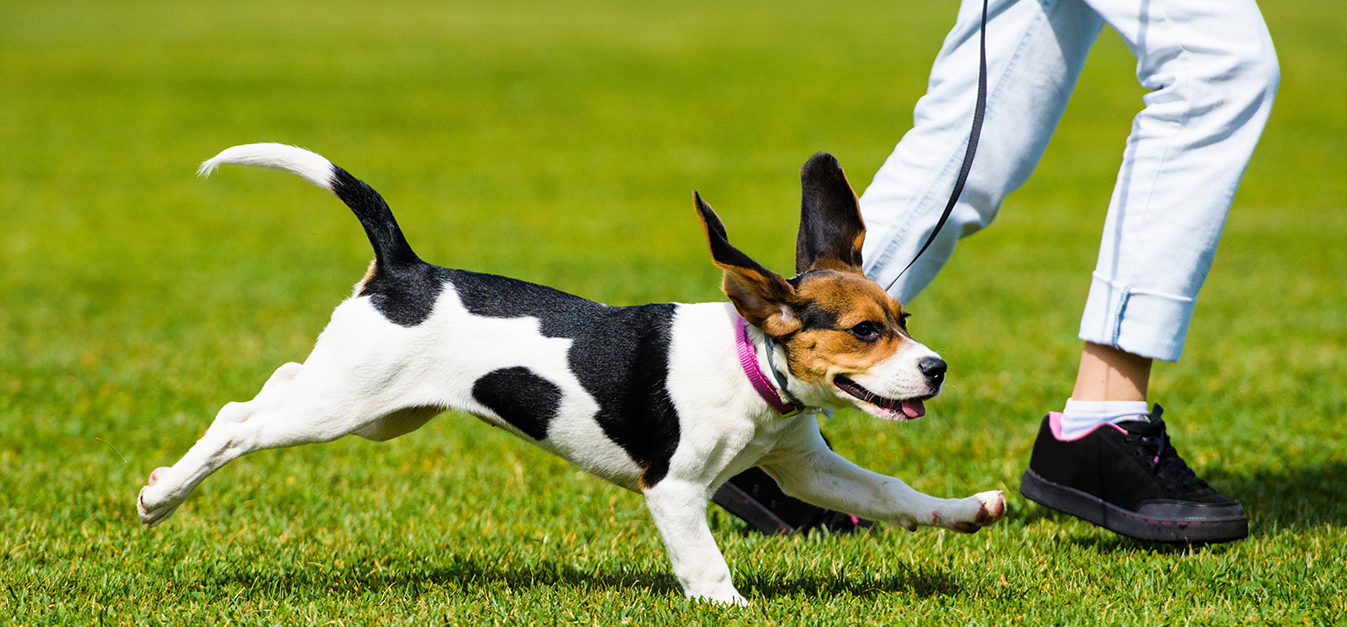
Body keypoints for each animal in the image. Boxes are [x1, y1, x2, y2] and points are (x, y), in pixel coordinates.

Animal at [136, 144, 1007, 604]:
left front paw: (967, 509)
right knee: (236, 419)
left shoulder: (806, 467)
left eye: (903, 318)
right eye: (865, 332)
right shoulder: (675, 489)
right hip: (340, 406)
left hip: (377, 405)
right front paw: (731, 605)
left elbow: (892, 493)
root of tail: (405, 267)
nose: (935, 369)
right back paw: (160, 493)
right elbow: (705, 561)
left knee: (275, 381)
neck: (750, 362)